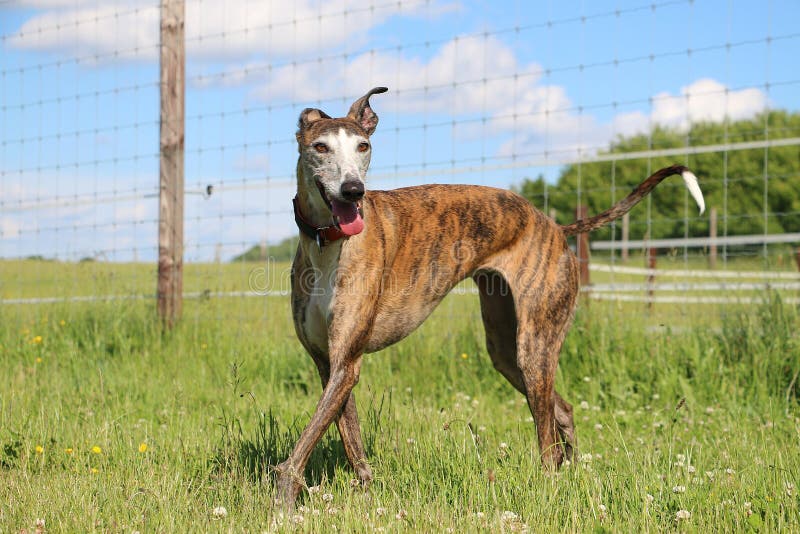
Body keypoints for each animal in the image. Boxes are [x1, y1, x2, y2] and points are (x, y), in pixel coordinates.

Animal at [276, 88, 708, 506]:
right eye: (320, 147)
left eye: (363, 146)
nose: (353, 190)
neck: (327, 243)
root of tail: (554, 226)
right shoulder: (331, 363)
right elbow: (351, 440)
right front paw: (364, 495)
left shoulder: (347, 362)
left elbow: (304, 446)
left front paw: (282, 500)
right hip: (506, 348)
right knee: (563, 411)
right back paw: (573, 473)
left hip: (535, 345)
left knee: (548, 441)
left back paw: (550, 488)